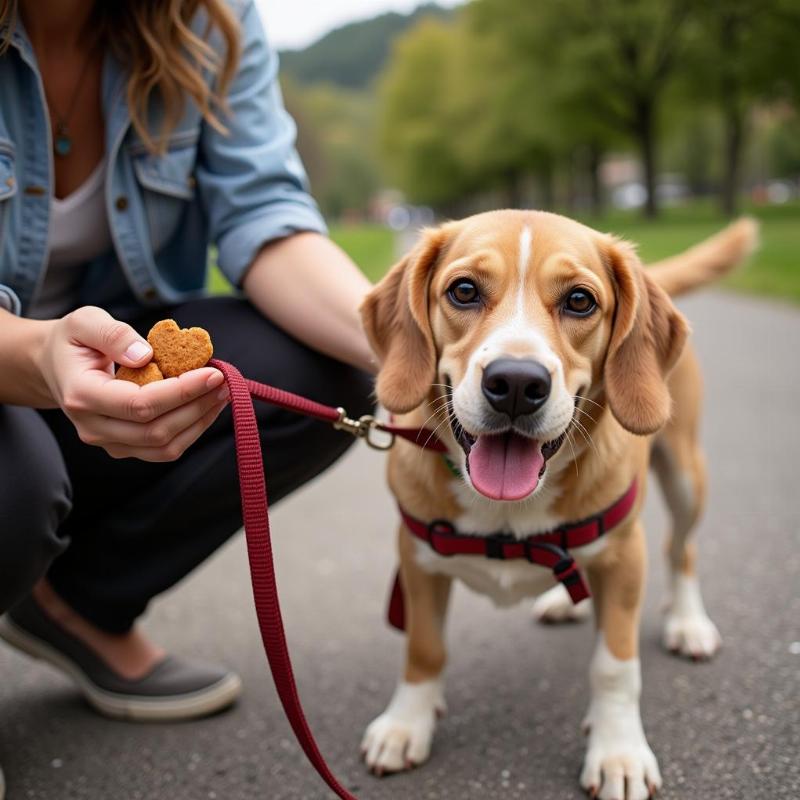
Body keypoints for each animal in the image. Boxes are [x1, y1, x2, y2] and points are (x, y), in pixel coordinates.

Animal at [360, 211, 760, 800]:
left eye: (579, 301)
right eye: (464, 291)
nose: (516, 383)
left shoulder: (624, 557)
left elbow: (614, 666)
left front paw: (618, 751)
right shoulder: (416, 559)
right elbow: (425, 649)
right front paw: (406, 724)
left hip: (687, 477)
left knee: (681, 549)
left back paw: (688, 622)